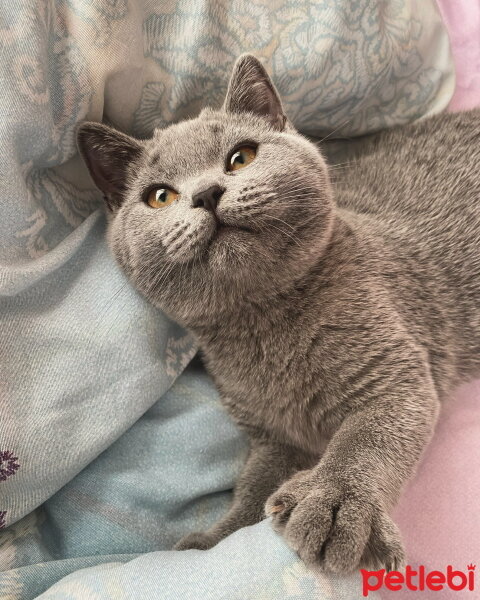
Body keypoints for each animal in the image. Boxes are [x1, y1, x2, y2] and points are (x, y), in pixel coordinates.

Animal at [77, 55, 478, 572]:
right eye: (160, 196)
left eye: (241, 157)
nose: (206, 193)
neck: (266, 325)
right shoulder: (270, 434)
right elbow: (255, 484)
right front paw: (217, 540)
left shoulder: (394, 375)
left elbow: (366, 440)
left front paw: (335, 501)